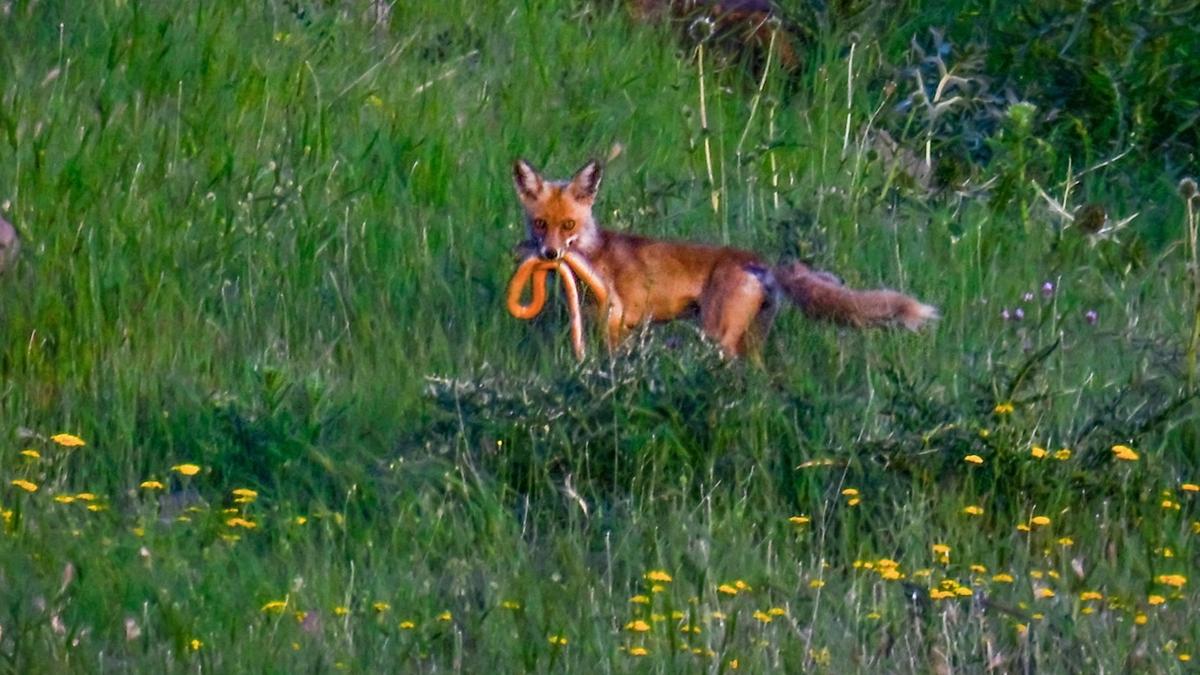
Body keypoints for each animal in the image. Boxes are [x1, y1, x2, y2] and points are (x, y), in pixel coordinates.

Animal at [511, 159, 931, 355]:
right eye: (540, 223)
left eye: (568, 224)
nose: (550, 253)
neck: (595, 253)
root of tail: (756, 258)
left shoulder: (618, 323)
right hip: (749, 342)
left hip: (718, 337)